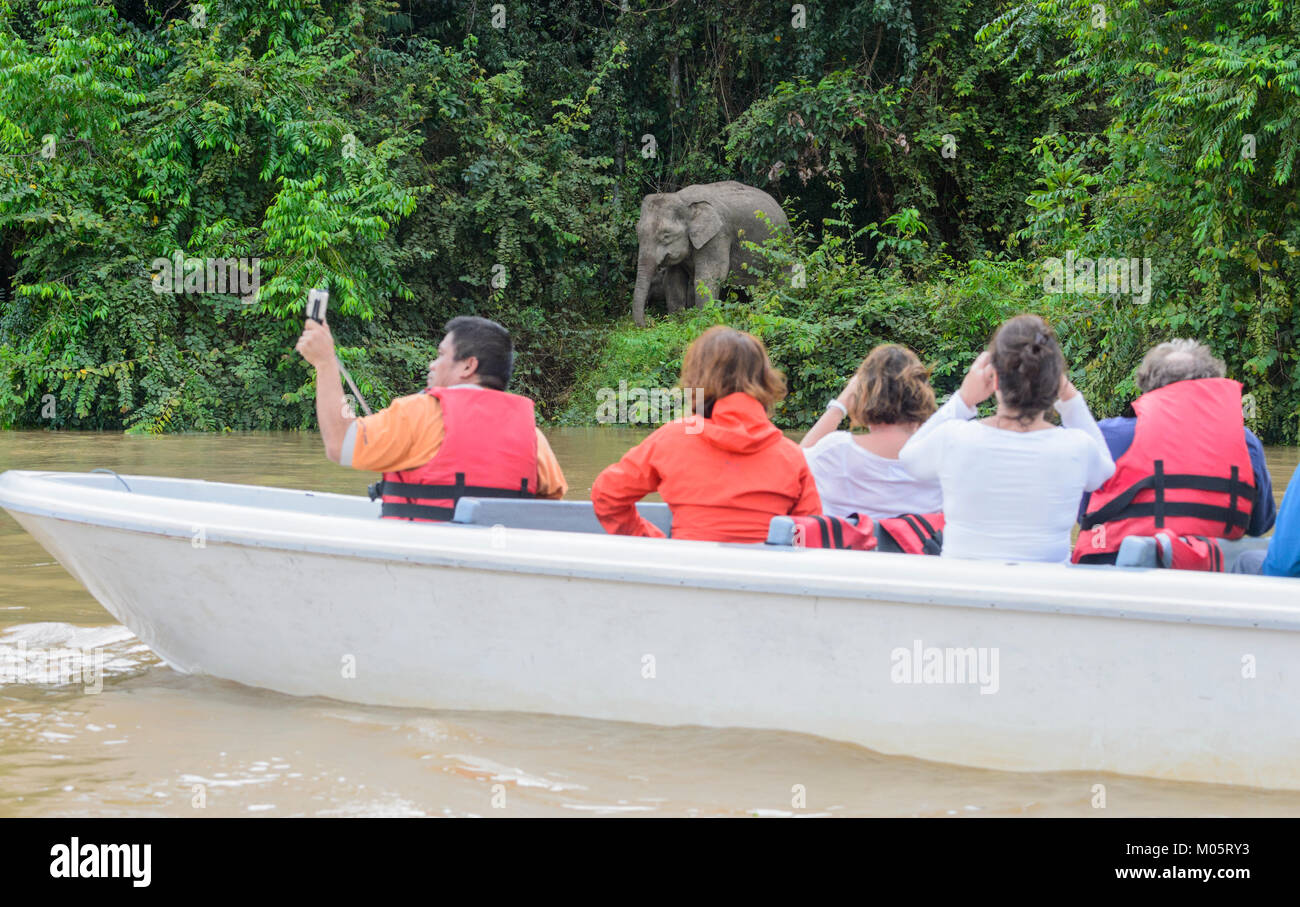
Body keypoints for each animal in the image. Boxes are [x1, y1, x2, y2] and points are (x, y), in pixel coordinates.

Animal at [632, 181, 789, 326]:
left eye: (666, 235)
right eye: (637, 232)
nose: (649, 322)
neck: (683, 200)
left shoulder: (718, 235)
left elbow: (709, 277)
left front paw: (703, 323)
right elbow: (673, 280)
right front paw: (677, 323)